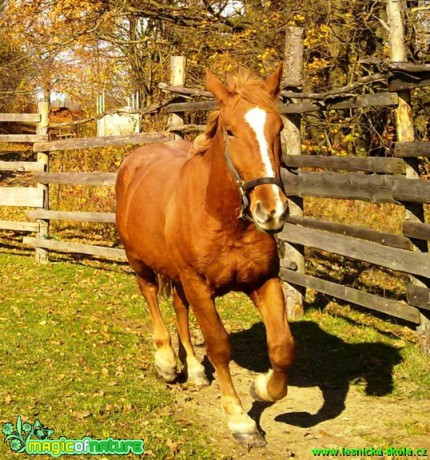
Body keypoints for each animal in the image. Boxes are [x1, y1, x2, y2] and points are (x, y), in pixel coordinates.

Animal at [116, 64, 294, 446]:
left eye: (278, 128)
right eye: (230, 131)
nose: (271, 212)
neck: (223, 220)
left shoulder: (264, 281)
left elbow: (282, 346)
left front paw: (262, 388)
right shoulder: (198, 284)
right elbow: (220, 345)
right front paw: (240, 420)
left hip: (177, 277)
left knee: (179, 308)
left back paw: (195, 369)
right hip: (140, 263)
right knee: (151, 298)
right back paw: (167, 362)